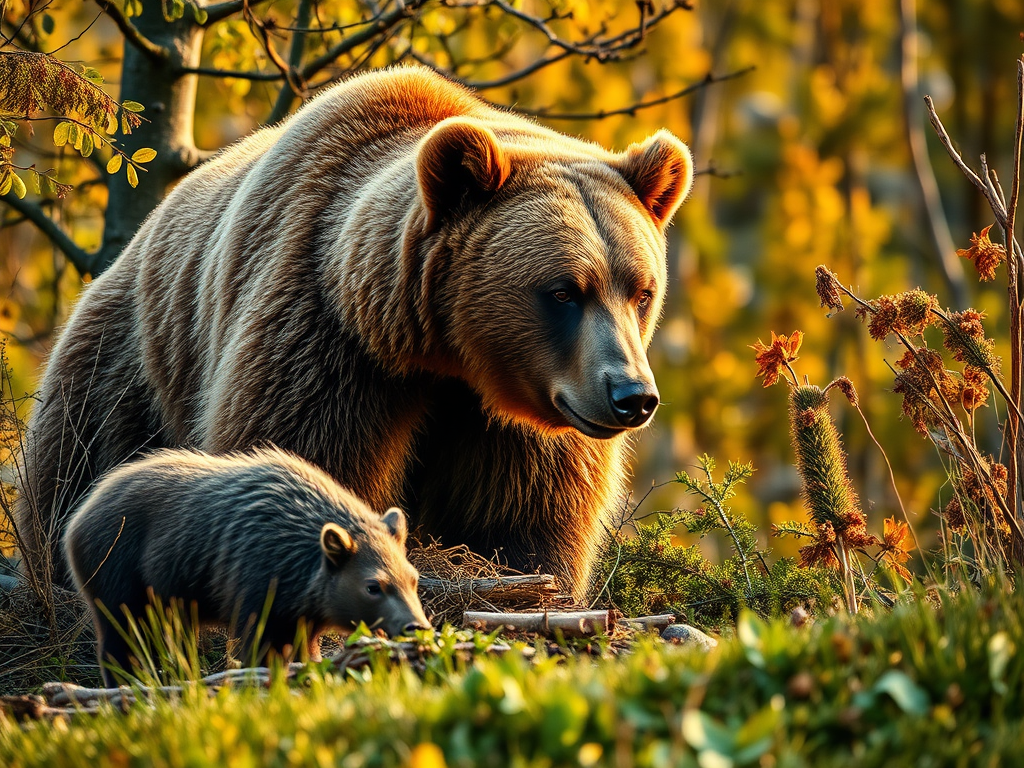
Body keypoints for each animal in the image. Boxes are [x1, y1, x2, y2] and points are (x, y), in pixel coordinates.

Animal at [17, 65, 694, 599]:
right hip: (128, 366)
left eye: (641, 290)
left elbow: (524, 515)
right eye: (562, 291)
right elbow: (308, 456)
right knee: (81, 465)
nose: (631, 396)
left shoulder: (518, 414)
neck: (440, 352)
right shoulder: (323, 339)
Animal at [64, 446, 430, 685]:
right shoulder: (254, 587)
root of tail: (81, 510)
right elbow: (260, 649)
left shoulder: (300, 610)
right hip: (119, 575)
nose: (416, 626)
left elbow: (305, 650)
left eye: (413, 579)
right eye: (373, 586)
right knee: (121, 640)